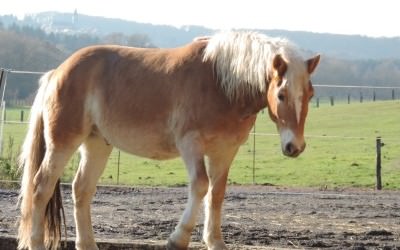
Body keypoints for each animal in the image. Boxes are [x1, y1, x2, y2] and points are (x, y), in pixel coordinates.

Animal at [18, 31, 318, 250]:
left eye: (310, 94)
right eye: (281, 94)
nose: (295, 147)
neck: (220, 83)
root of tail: (57, 72)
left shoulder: (225, 151)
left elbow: (217, 194)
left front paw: (215, 242)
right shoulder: (190, 144)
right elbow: (201, 186)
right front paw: (178, 239)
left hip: (97, 144)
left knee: (81, 189)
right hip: (62, 143)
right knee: (41, 187)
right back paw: (36, 242)